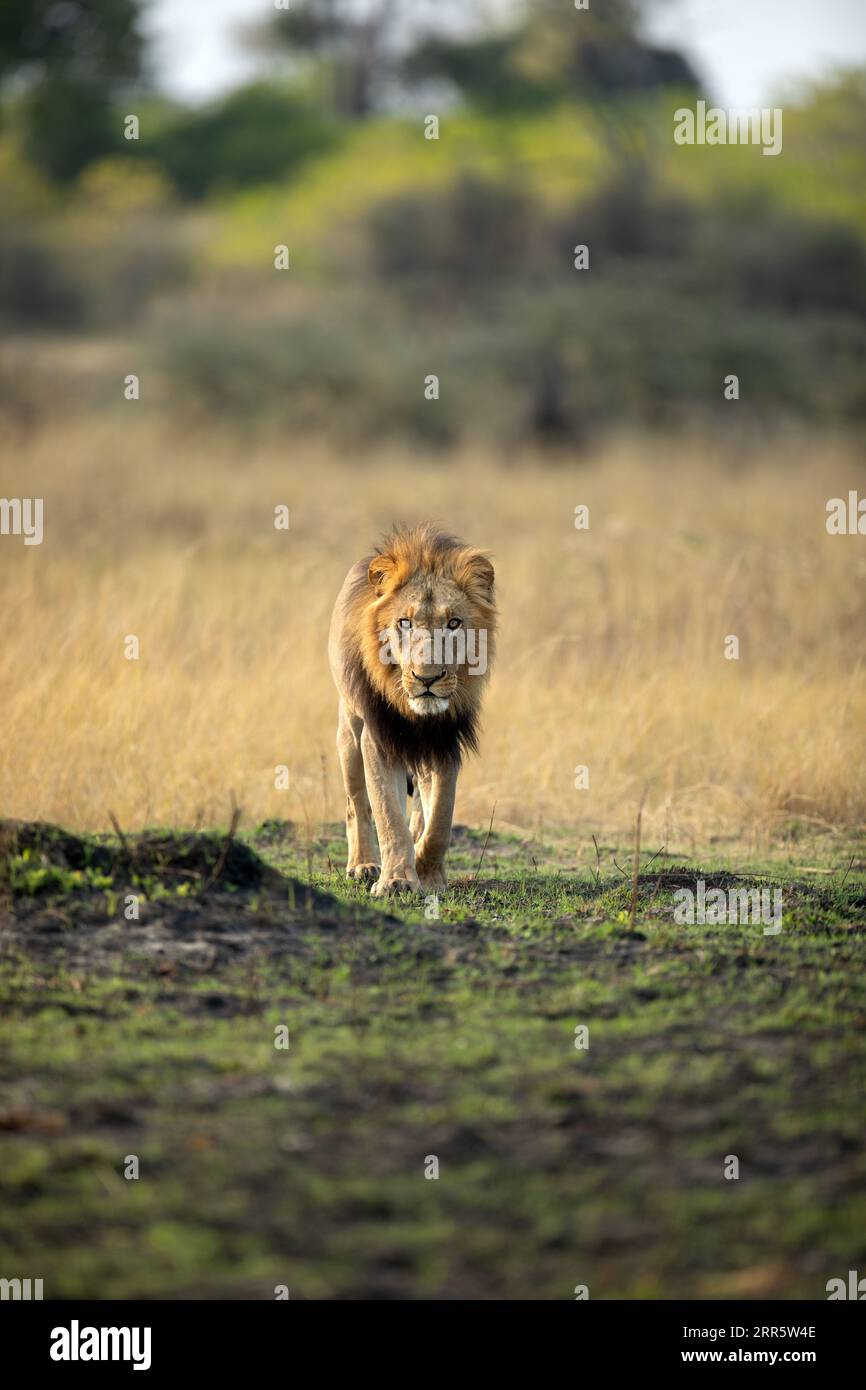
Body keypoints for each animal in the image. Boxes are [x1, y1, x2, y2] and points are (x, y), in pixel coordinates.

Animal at [330, 522, 497, 900]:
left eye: (454, 623)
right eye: (404, 623)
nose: (427, 678)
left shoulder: (445, 741)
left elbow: (440, 820)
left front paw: (427, 872)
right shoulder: (378, 738)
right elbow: (387, 814)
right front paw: (396, 881)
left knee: (420, 804)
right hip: (349, 730)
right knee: (356, 803)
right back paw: (363, 864)